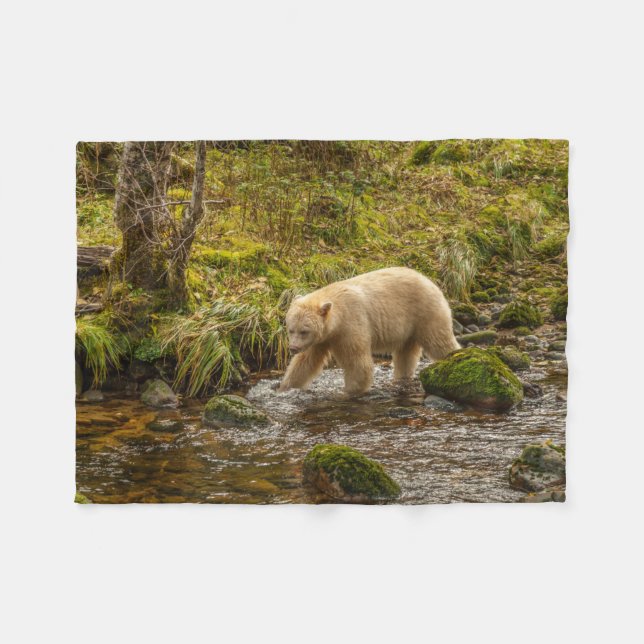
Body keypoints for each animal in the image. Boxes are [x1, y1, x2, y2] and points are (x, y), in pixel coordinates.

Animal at [278, 267, 460, 395]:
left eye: (304, 331)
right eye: (291, 329)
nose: (293, 348)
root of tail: (431, 281)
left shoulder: (350, 325)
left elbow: (357, 363)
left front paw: (348, 392)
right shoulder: (323, 338)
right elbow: (305, 362)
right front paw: (285, 387)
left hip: (425, 313)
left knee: (439, 342)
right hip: (409, 328)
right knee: (405, 354)